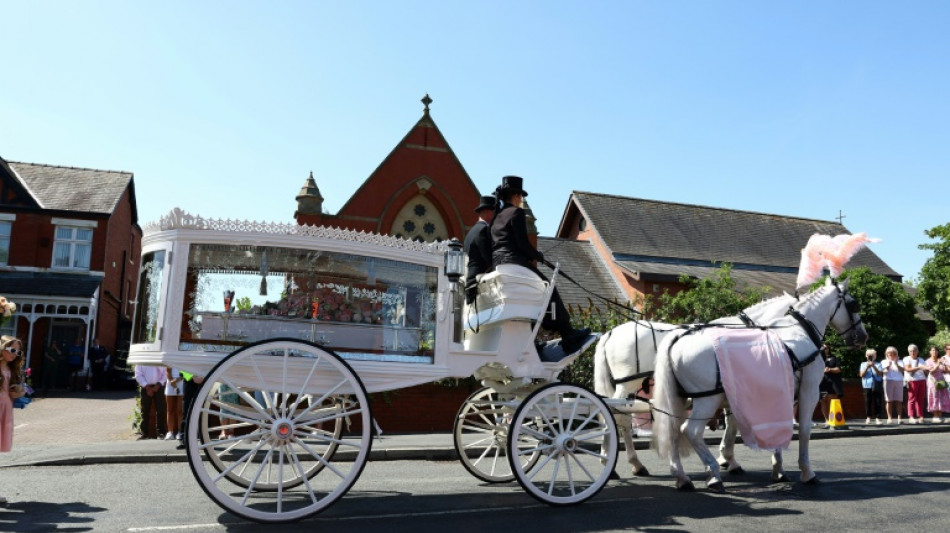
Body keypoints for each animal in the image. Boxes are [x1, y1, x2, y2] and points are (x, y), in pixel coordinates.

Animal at [596, 294, 796, 476]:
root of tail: (610, 334)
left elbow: (730, 421)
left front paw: (726, 458)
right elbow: (733, 423)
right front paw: (729, 459)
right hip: (627, 384)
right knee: (618, 416)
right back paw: (630, 462)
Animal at [656, 278, 872, 490]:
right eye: (853, 304)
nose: (863, 336)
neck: (799, 330)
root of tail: (677, 339)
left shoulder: (777, 392)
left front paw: (777, 468)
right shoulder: (808, 391)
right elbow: (803, 430)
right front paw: (806, 472)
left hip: (679, 399)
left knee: (672, 429)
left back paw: (682, 476)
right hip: (707, 399)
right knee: (690, 431)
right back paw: (713, 473)